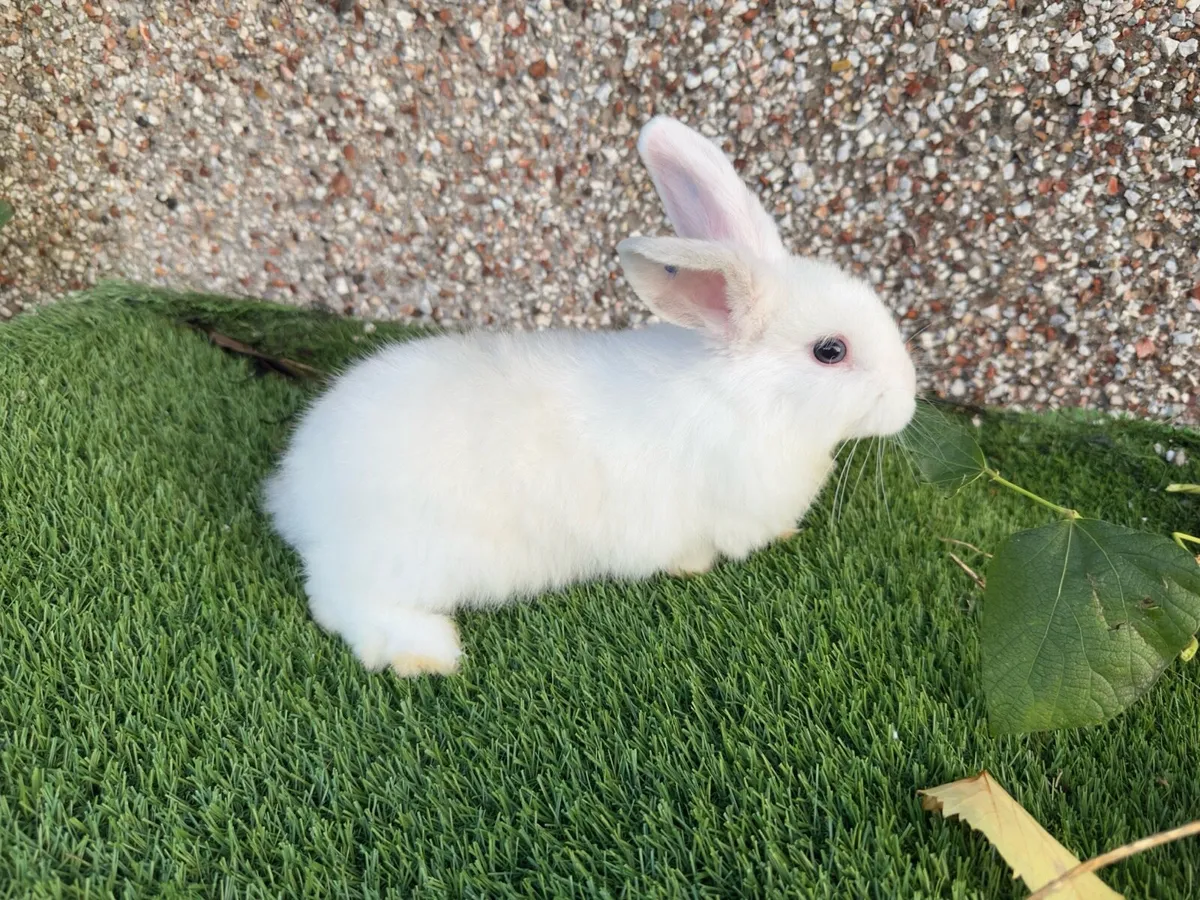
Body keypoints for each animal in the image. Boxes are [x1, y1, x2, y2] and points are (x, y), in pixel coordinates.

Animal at [263, 116, 918, 677]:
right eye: (830, 351)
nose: (909, 400)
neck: (747, 396)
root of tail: (298, 490)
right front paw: (697, 565)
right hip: (403, 559)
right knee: (337, 599)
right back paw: (426, 652)